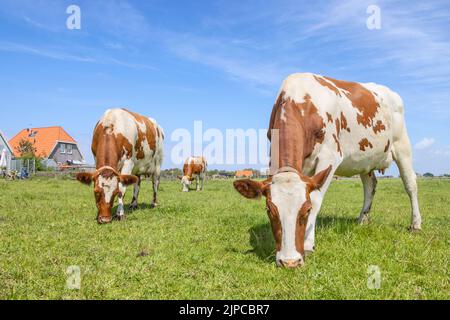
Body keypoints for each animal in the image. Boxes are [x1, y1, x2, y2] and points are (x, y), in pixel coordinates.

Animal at [236, 72, 422, 268]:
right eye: (269, 210)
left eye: (307, 210)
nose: (290, 262)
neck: (301, 99)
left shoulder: (330, 157)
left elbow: (316, 199)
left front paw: (308, 244)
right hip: (366, 158)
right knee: (370, 186)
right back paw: (362, 220)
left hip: (402, 146)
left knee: (410, 184)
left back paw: (415, 225)